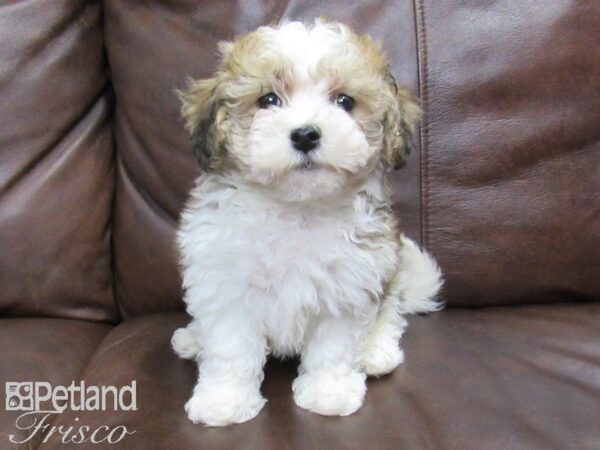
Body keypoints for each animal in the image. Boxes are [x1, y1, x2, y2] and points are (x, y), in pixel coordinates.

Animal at [171, 21, 442, 428]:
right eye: (268, 100)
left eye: (344, 101)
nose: (305, 134)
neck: (297, 208)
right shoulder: (227, 281)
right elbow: (230, 347)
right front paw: (225, 400)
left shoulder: (350, 283)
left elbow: (334, 347)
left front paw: (328, 393)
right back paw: (193, 338)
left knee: (390, 314)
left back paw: (377, 352)